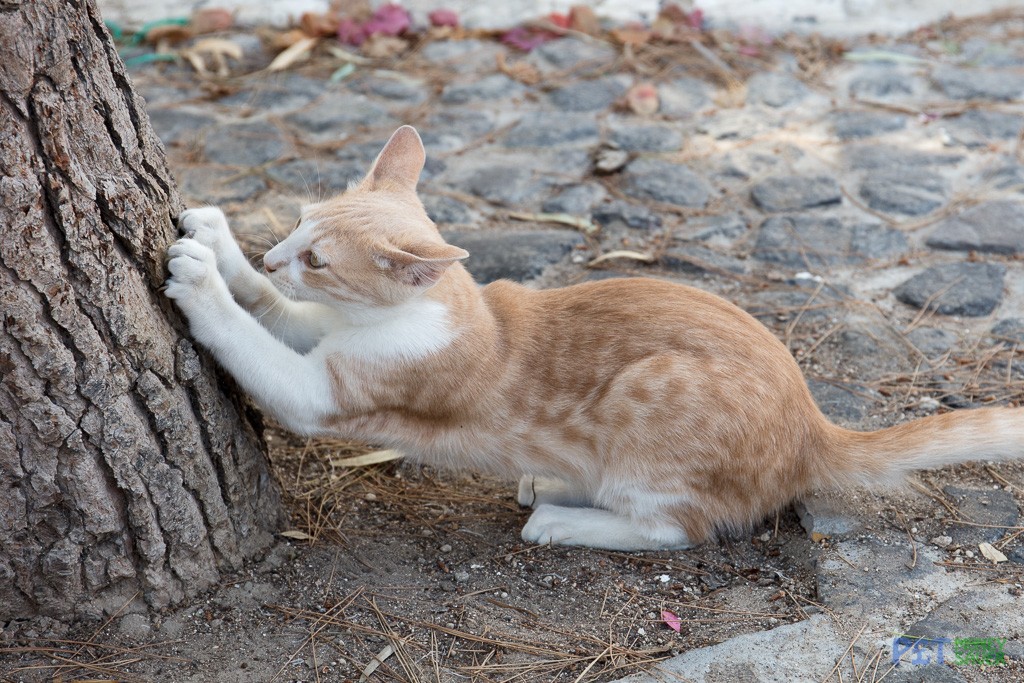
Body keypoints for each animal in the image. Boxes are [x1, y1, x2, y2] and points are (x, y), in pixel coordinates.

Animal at [167, 125, 1024, 552]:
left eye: (317, 257)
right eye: (297, 224)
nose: (278, 253)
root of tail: (814, 425)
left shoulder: (330, 391)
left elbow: (258, 348)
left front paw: (202, 282)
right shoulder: (319, 327)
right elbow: (273, 309)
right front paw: (224, 247)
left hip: (650, 402)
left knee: (677, 529)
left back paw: (565, 519)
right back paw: (552, 484)